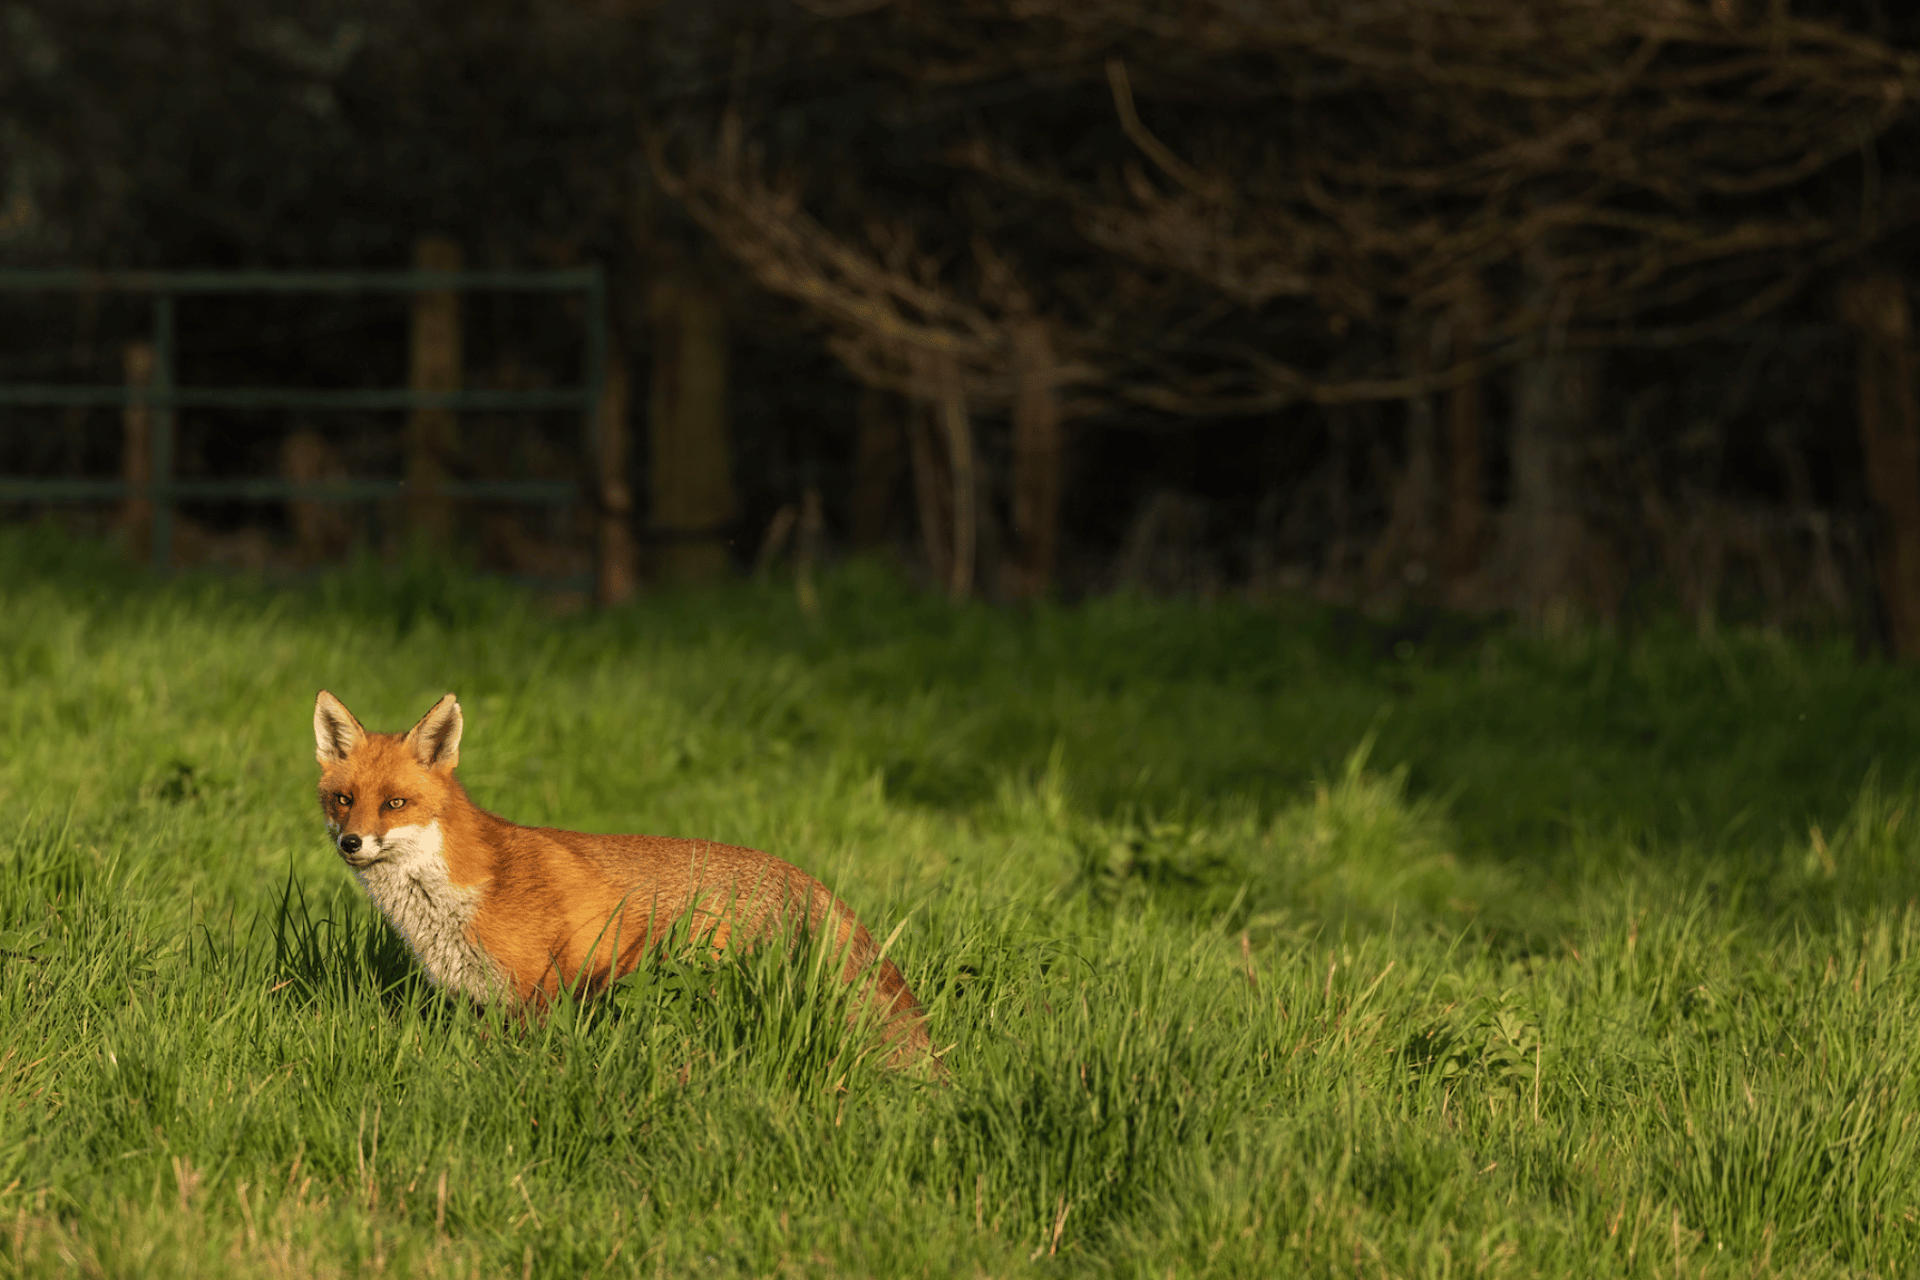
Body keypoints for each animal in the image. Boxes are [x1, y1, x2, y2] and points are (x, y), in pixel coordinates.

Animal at [311, 689, 937, 1070]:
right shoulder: (480, 999)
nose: (351, 843)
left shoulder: (539, 990)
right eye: (344, 800)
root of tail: (808, 878)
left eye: (395, 804)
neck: (449, 902)